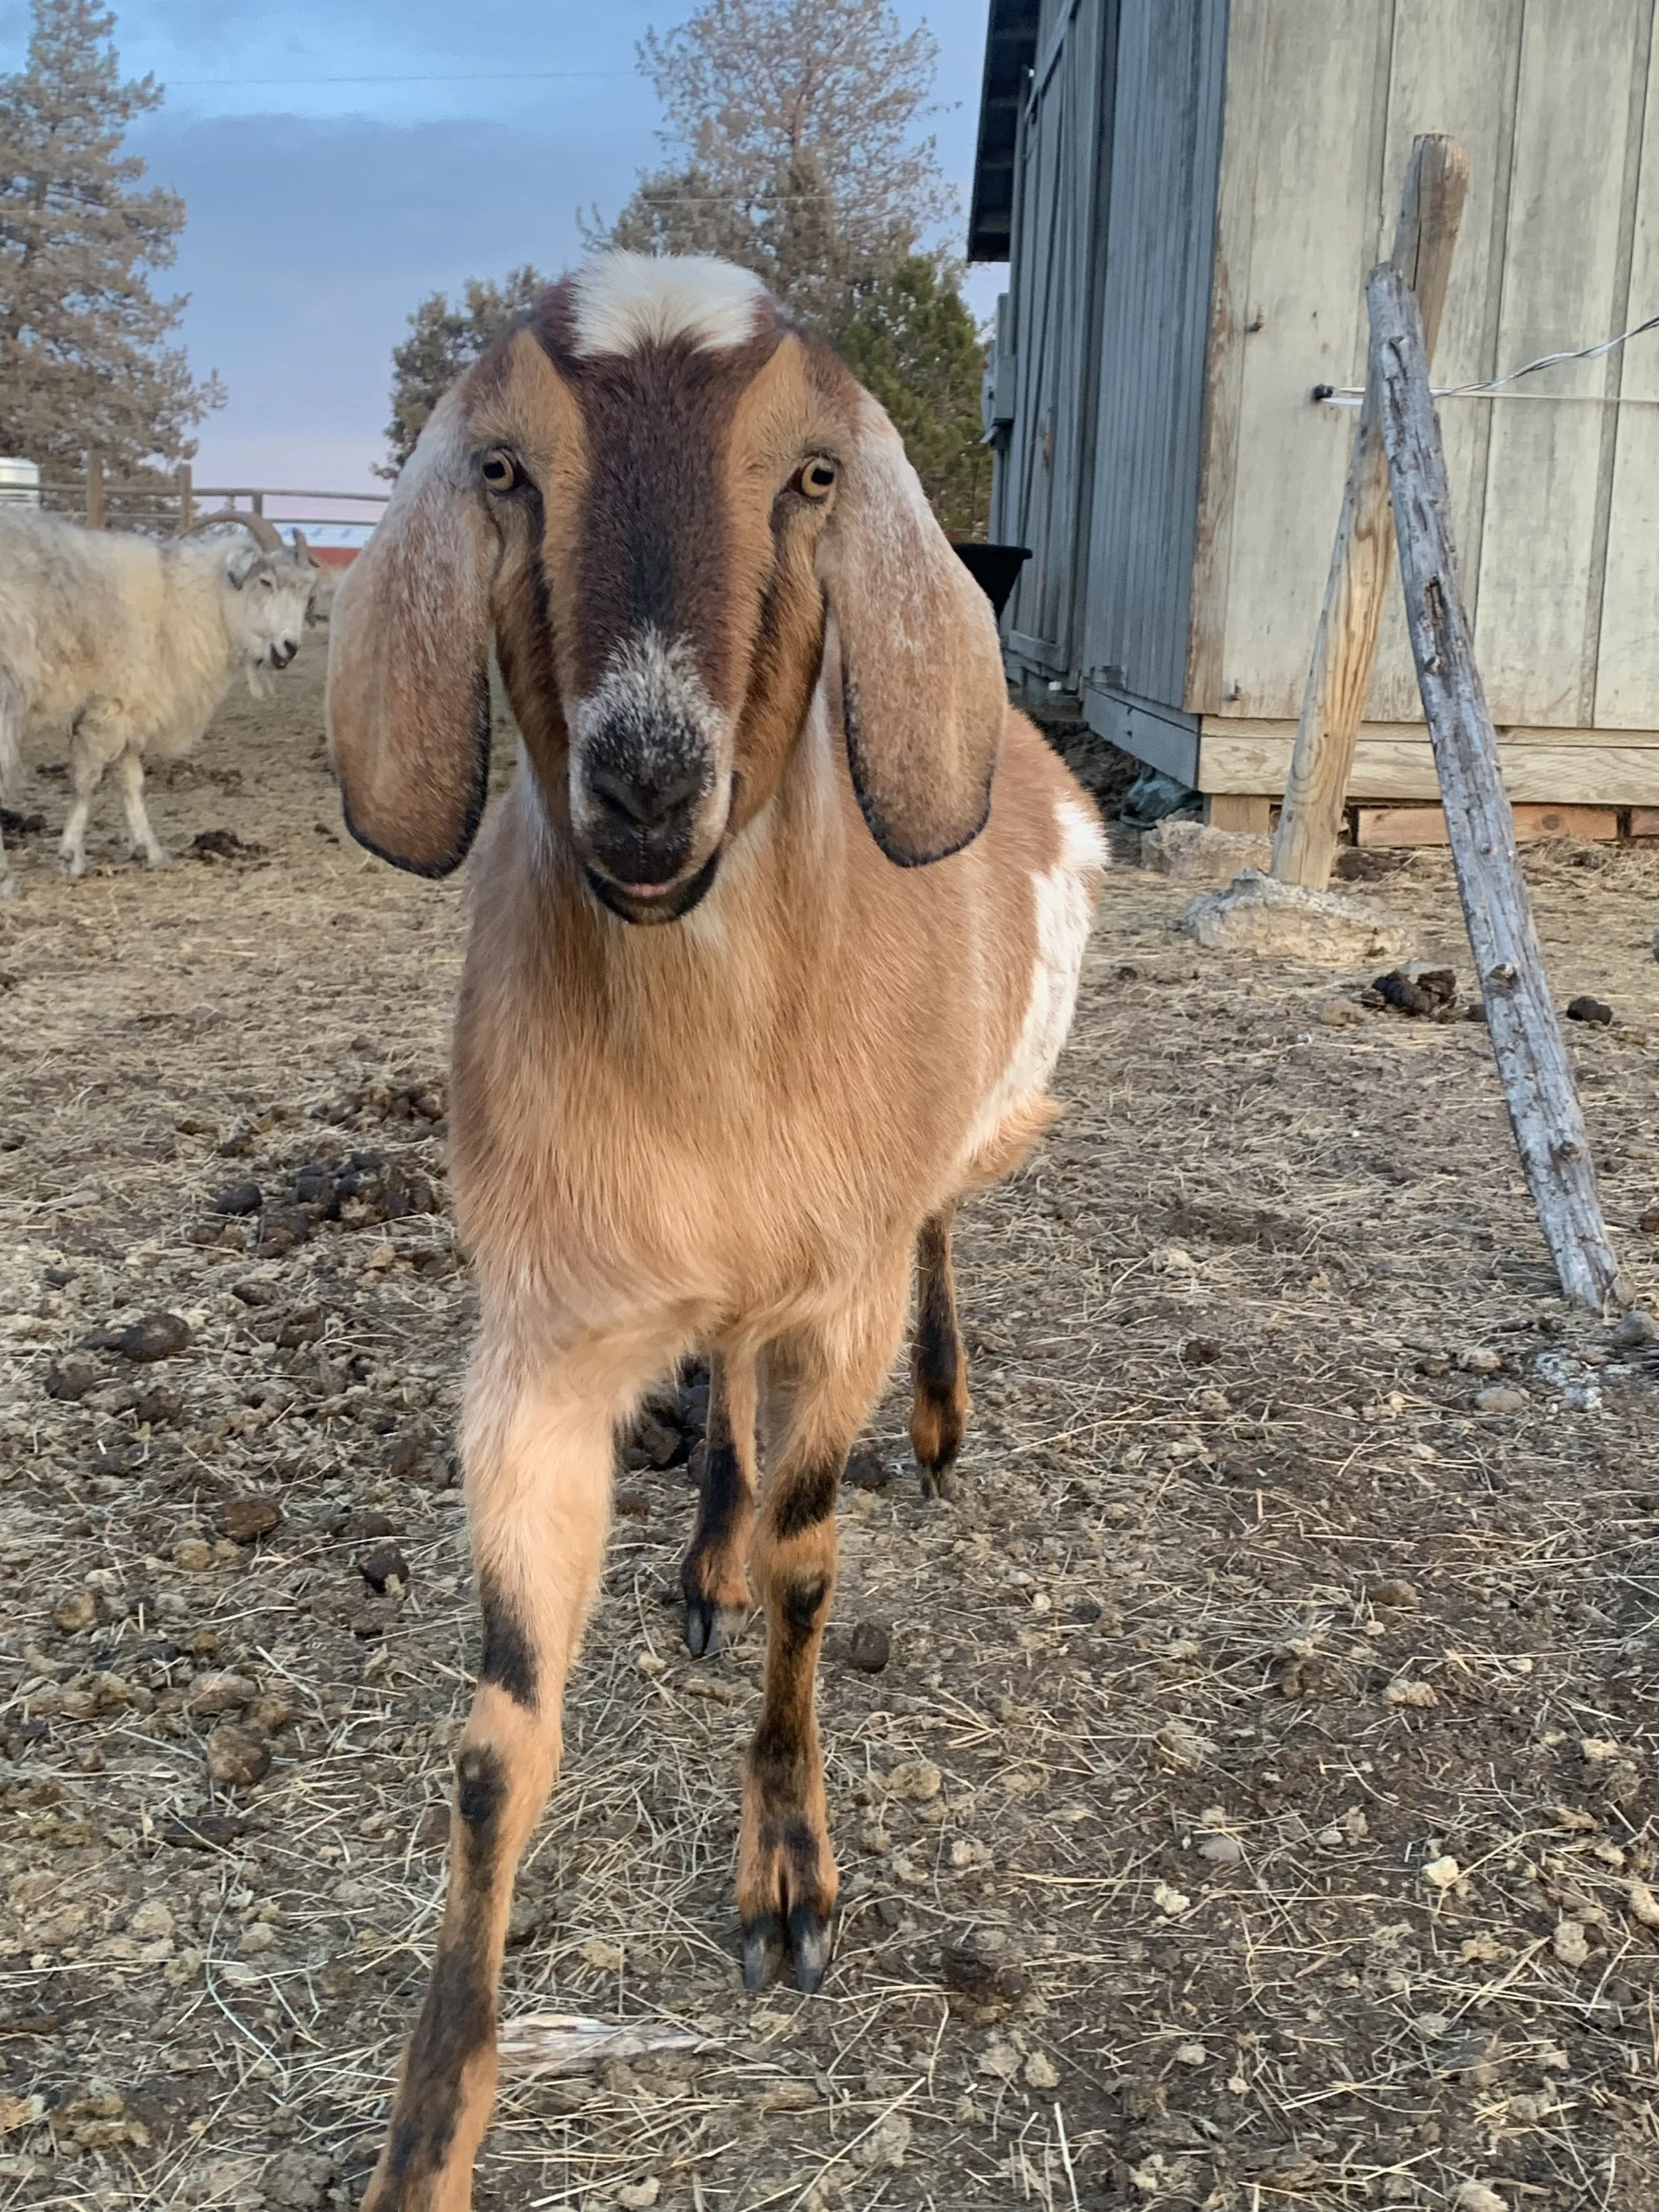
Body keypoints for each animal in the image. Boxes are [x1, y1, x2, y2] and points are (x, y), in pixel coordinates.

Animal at [0, 509, 317, 893]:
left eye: (307, 593)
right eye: (266, 582)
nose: (289, 649)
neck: (186, 600)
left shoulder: (130, 708)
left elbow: (131, 780)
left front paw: (149, 851)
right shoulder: (110, 705)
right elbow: (87, 780)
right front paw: (72, 856)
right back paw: (5, 879)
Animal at [325, 251, 1105, 2211]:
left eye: (810, 475)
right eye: (506, 469)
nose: (644, 779)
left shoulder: (841, 1277)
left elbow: (823, 1573)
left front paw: (788, 1880)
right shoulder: (540, 1340)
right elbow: (496, 1737)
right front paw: (430, 2124)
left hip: (957, 1146)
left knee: (935, 1237)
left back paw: (935, 1418)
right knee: (728, 1371)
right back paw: (705, 1545)